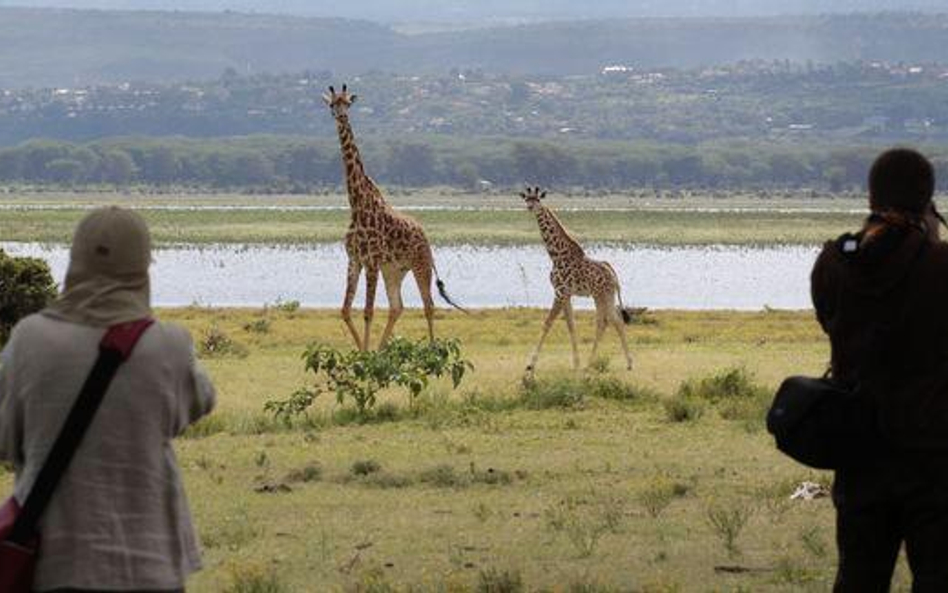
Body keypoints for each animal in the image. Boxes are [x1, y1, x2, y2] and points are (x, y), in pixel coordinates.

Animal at [324, 85, 464, 350]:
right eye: (331, 104)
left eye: (348, 103)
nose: (340, 116)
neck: (357, 204)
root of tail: (425, 235)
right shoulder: (355, 260)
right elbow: (345, 310)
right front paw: (363, 351)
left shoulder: (372, 261)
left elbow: (367, 311)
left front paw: (365, 353)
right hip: (395, 271)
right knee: (397, 307)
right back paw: (381, 350)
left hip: (420, 265)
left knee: (428, 305)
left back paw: (433, 350)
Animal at [524, 186, 632, 370]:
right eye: (527, 199)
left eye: (537, 199)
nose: (530, 207)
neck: (556, 255)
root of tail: (613, 274)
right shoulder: (566, 294)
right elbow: (571, 325)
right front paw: (576, 363)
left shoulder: (559, 292)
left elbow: (547, 323)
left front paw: (530, 366)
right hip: (603, 296)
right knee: (611, 321)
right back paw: (619, 363)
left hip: (603, 295)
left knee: (608, 322)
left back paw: (602, 363)